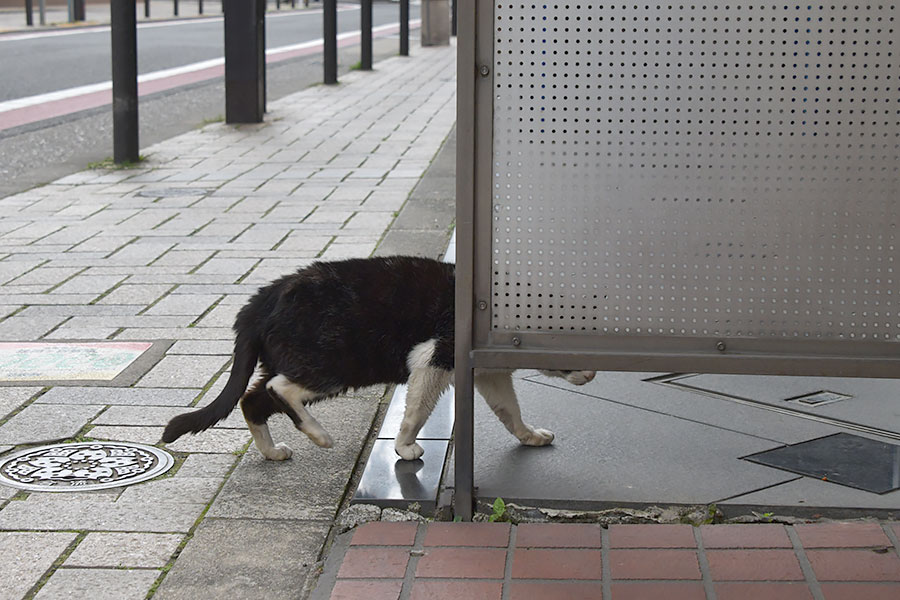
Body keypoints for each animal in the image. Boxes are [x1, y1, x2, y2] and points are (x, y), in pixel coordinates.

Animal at [162, 256, 596, 460]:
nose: (593, 374)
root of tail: (261, 299)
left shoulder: (488, 372)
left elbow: (509, 410)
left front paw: (529, 435)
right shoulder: (435, 356)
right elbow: (417, 411)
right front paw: (404, 447)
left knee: (251, 399)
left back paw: (272, 452)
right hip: (338, 362)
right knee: (280, 388)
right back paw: (319, 435)